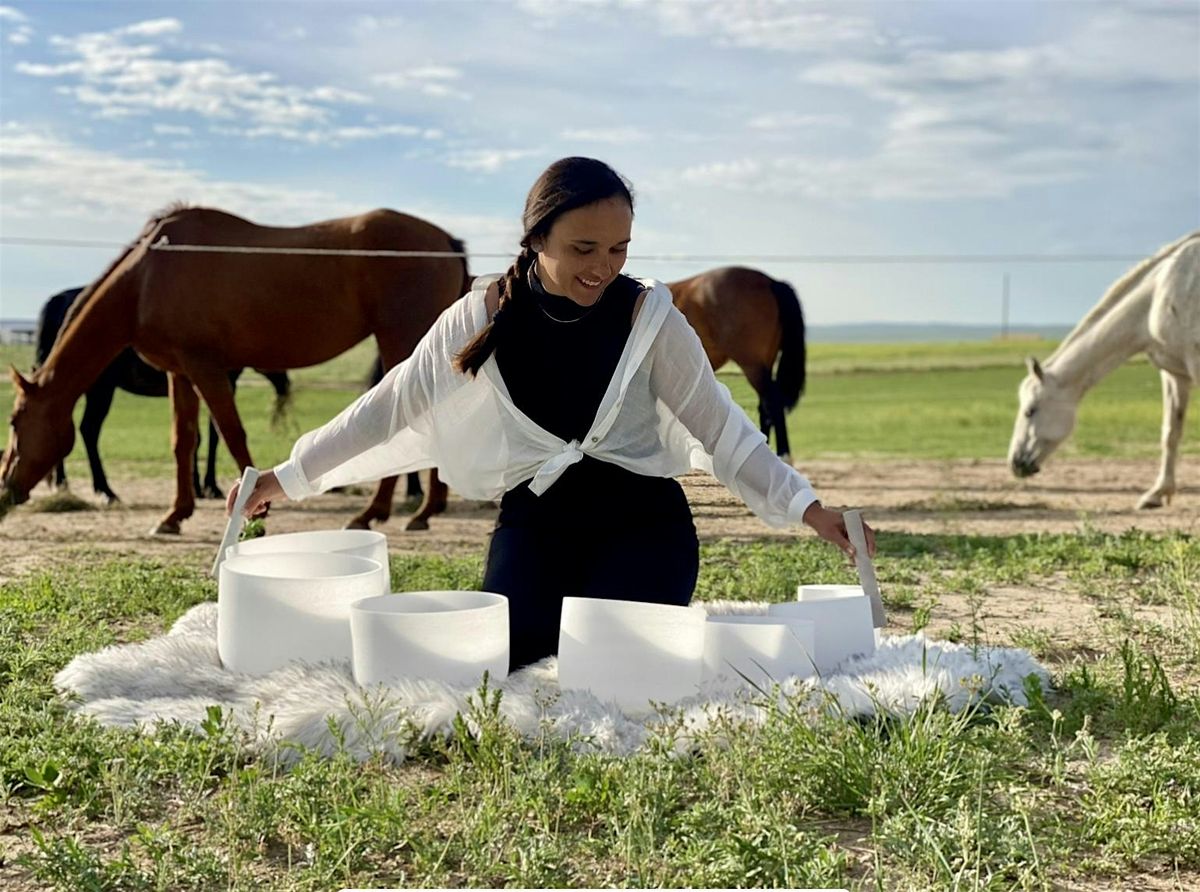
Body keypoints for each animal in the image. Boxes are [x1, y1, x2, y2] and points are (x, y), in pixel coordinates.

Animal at [35, 289, 290, 506]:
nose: (285, 384)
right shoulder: (220, 382)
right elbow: (212, 436)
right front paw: (208, 486)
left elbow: (196, 436)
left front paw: (198, 486)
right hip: (100, 389)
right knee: (88, 430)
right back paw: (104, 490)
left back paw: (63, 484)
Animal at [1012, 231, 1200, 509]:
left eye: (1030, 411)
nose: (1015, 462)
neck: (1161, 291)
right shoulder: (1175, 374)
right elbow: (1170, 433)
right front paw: (1156, 493)